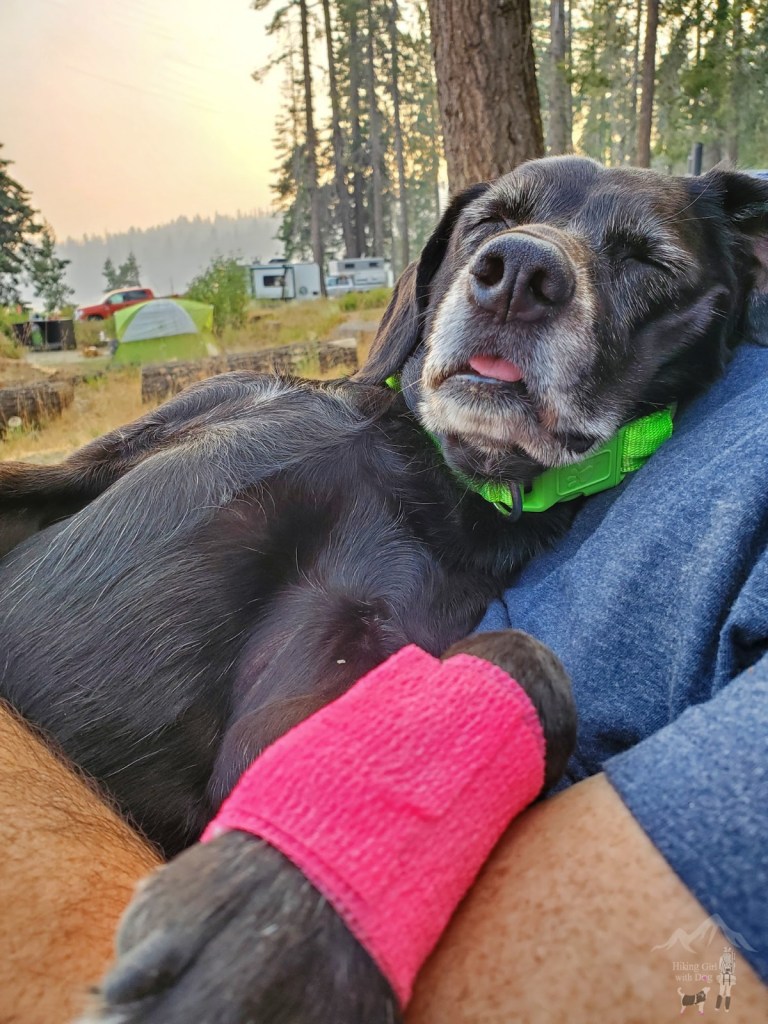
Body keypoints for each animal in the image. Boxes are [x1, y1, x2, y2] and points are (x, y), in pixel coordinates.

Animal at [1, 156, 767, 1023]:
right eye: (489, 220)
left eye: (650, 263)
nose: (518, 274)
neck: (420, 460)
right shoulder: (96, 463)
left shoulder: (313, 682)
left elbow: (525, 657)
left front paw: (286, 920)